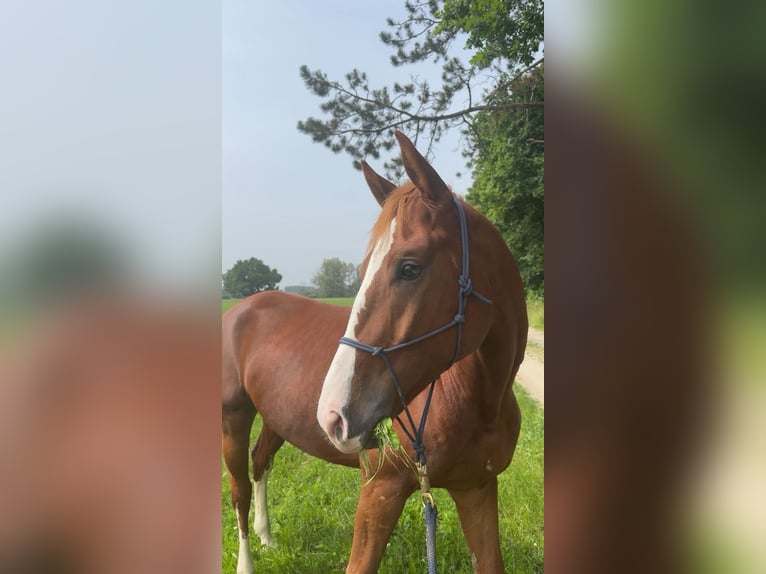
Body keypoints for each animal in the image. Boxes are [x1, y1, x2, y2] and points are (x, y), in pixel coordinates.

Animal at [222, 131, 528, 574]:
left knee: (261, 462)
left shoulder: (478, 488)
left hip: (274, 418)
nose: (332, 415)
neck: (478, 399)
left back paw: (267, 537)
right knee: (239, 488)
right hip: (234, 417)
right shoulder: (380, 488)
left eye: (410, 268)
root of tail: (242, 307)